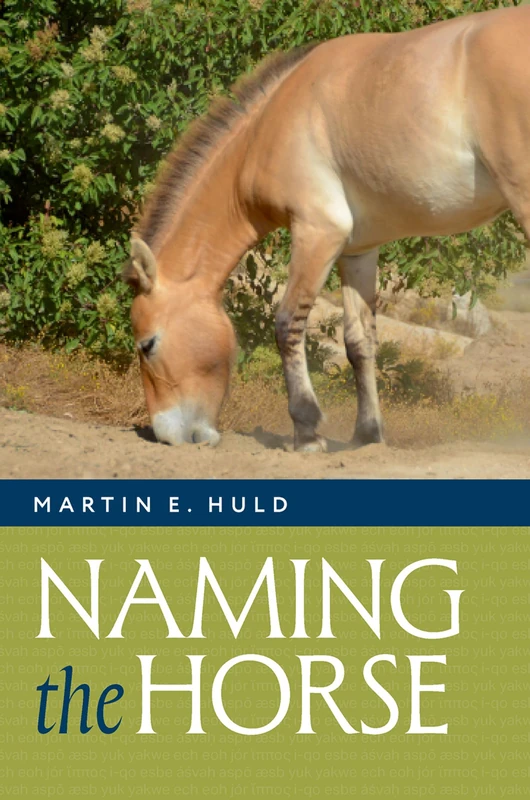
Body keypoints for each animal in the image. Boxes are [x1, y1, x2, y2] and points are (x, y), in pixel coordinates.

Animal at [123, 5, 530, 451]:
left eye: (147, 345)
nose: (167, 435)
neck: (267, 126)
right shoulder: (357, 250)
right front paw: (367, 435)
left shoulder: (318, 231)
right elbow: (359, 342)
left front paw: (307, 430)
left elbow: (287, 324)